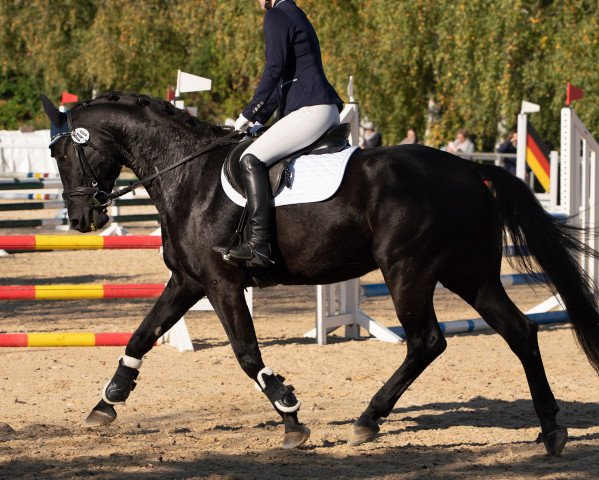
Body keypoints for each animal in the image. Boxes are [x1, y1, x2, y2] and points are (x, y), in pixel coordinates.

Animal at [42, 93, 599, 454]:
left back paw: (369, 420)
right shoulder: (188, 281)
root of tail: (471, 170)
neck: (187, 176)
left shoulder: (222, 285)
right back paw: (550, 430)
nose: (82, 219)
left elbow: (246, 353)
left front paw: (289, 413)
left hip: (408, 271)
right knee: (519, 331)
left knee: (427, 341)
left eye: (64, 151)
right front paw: (107, 403)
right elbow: (141, 335)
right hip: (470, 275)